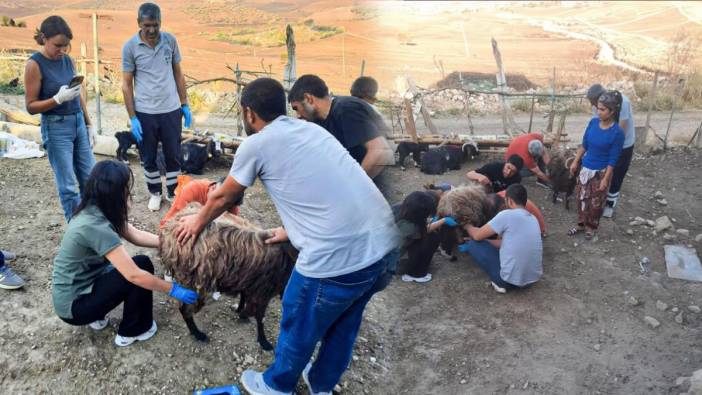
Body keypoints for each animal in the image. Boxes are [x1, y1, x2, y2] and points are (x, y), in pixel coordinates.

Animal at [160, 204, 296, 352]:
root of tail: (170, 229)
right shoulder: (264, 291)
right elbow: (260, 317)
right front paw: (264, 341)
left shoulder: (248, 279)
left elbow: (244, 296)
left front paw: (240, 311)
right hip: (193, 279)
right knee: (184, 308)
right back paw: (198, 334)